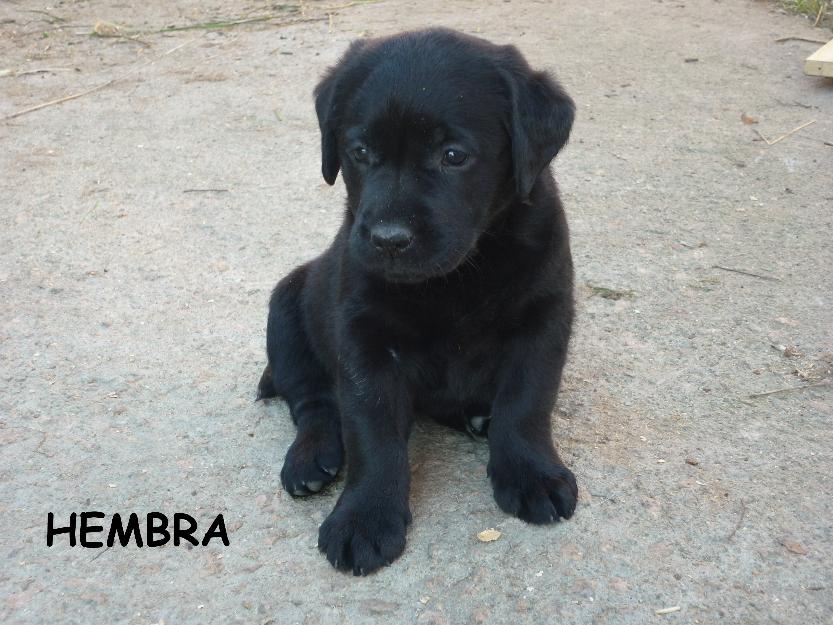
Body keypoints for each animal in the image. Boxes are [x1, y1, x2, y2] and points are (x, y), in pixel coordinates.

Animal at [260, 29, 580, 576]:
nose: (388, 240)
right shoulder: (364, 338)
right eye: (360, 150)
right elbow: (372, 434)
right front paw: (365, 516)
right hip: (286, 307)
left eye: (453, 155)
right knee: (313, 402)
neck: (458, 275)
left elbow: (527, 401)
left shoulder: (544, 317)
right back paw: (310, 459)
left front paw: (531, 472)